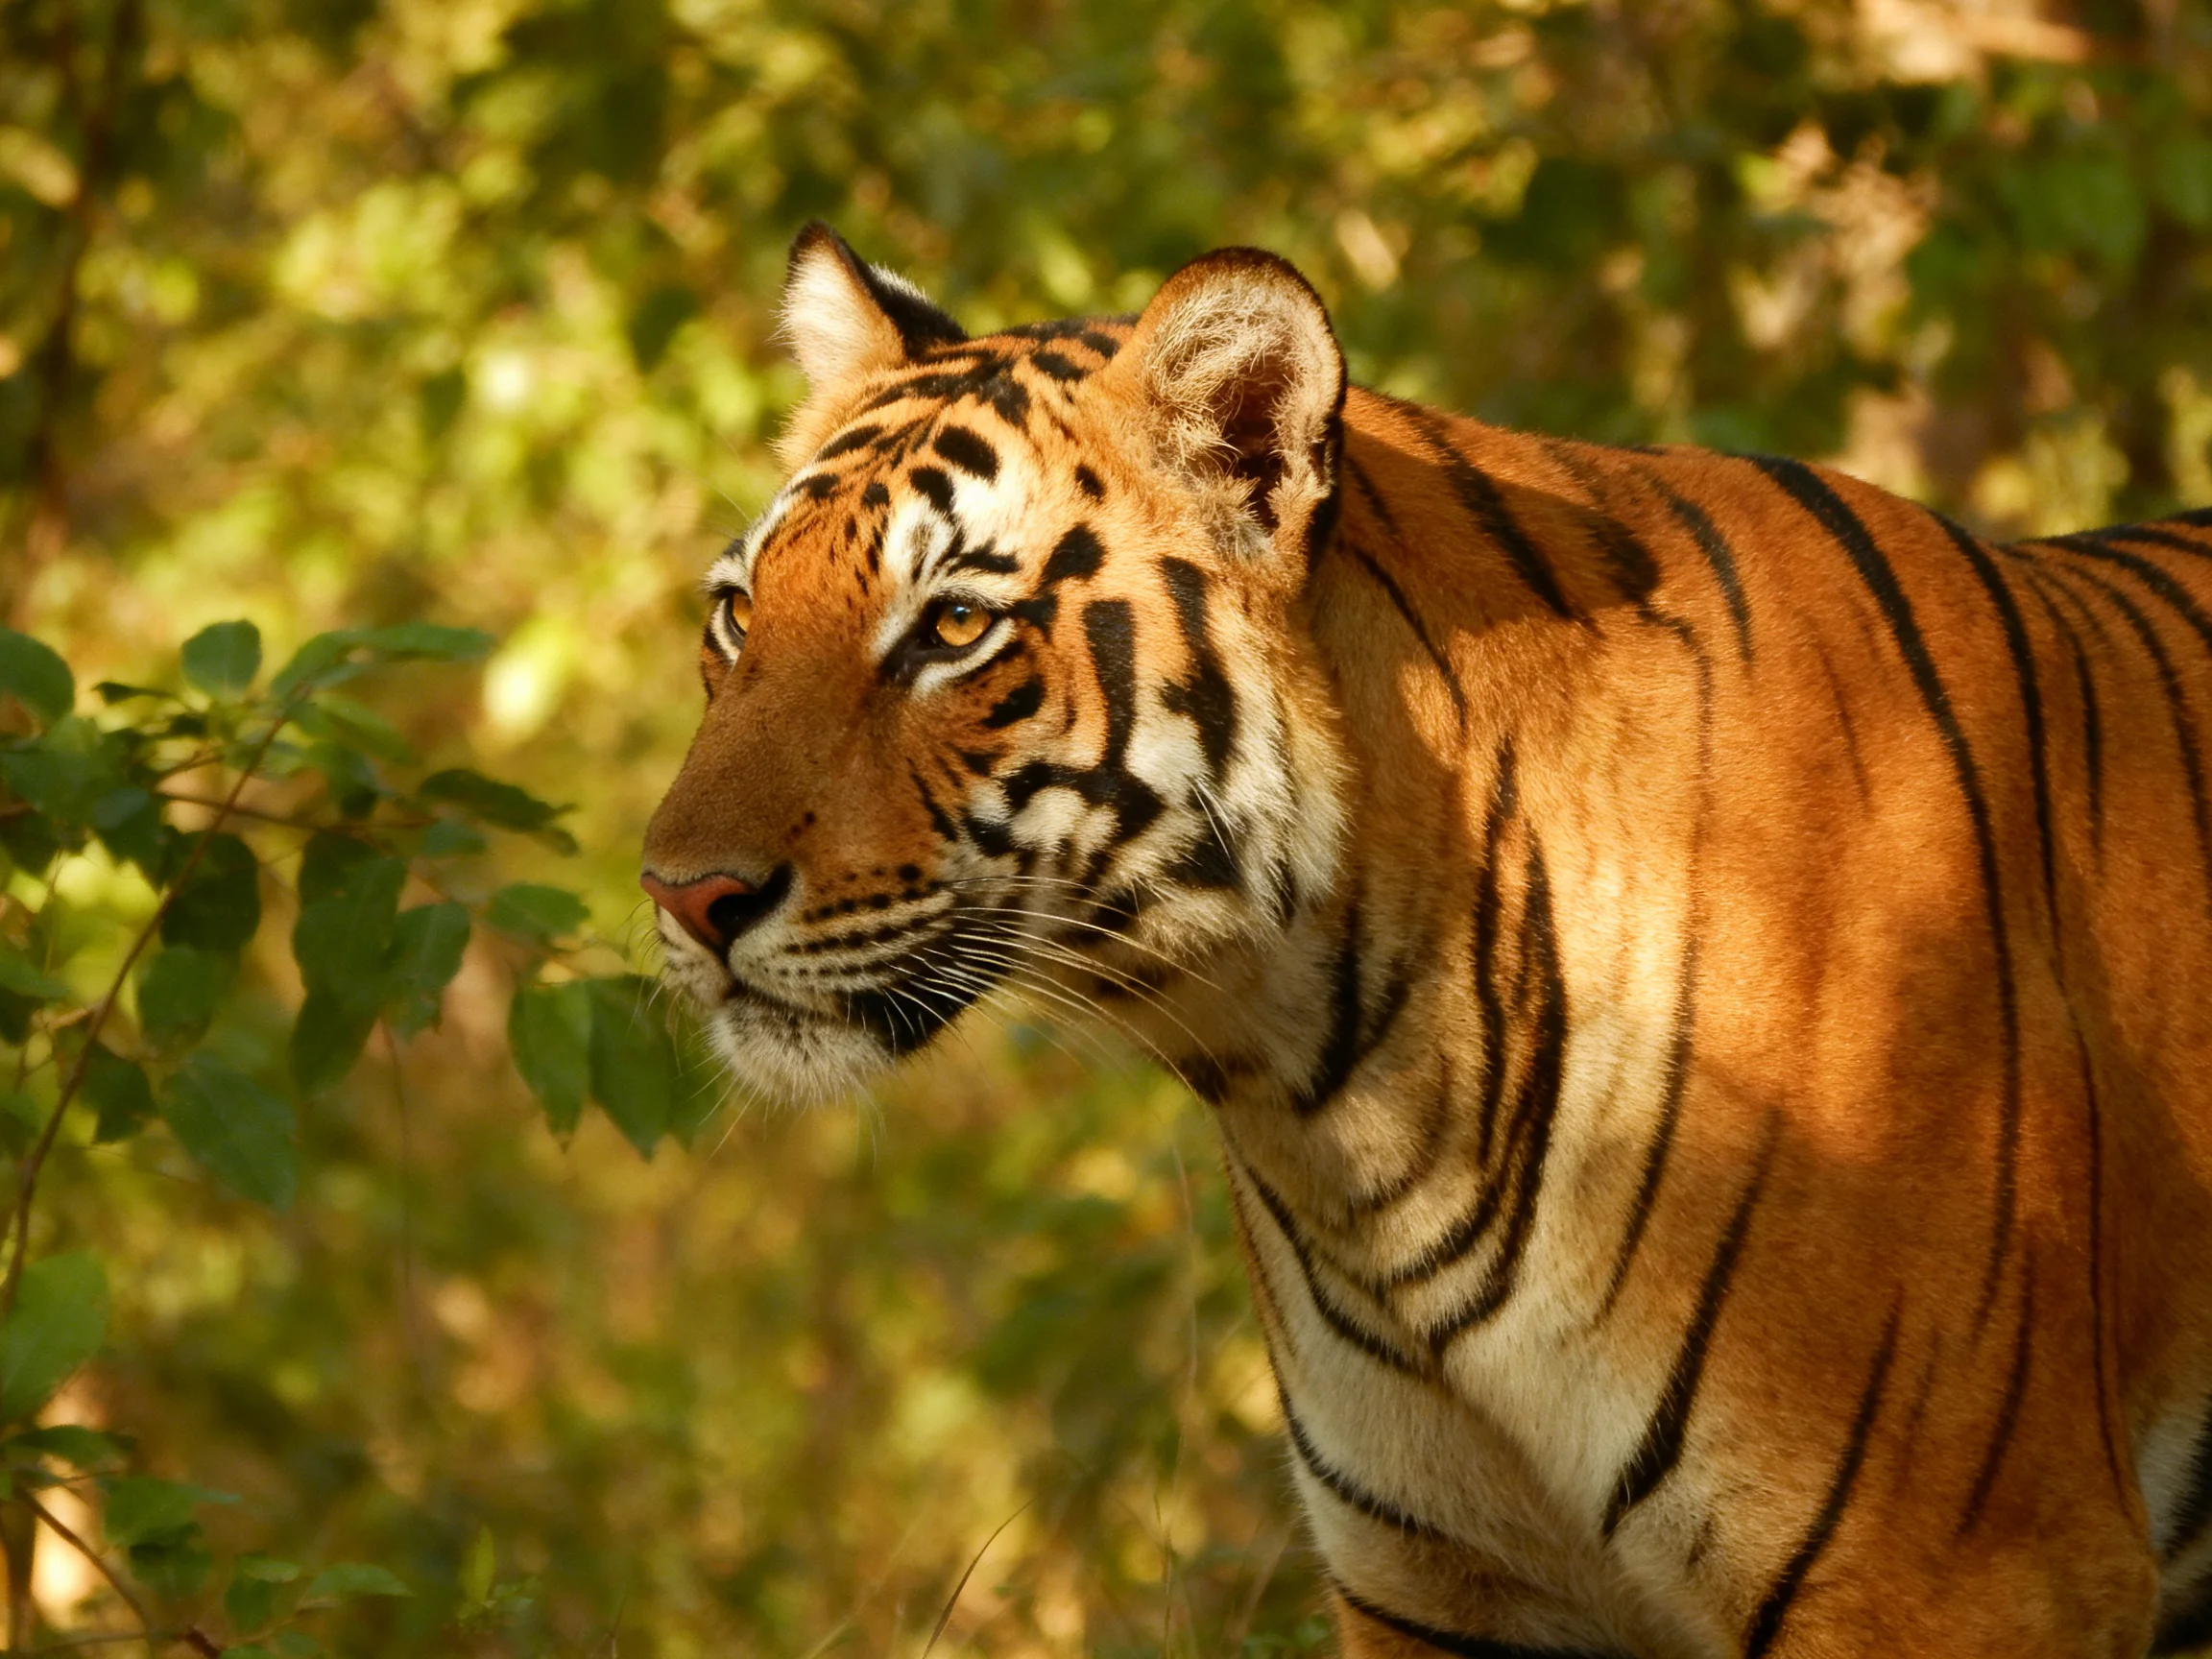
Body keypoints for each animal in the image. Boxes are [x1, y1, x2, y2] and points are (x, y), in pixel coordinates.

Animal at [641, 221, 2212, 1657]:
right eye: (737, 613)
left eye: (956, 626)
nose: (680, 894)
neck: (1348, 1096)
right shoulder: (1442, 1586)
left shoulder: (1967, 1573)